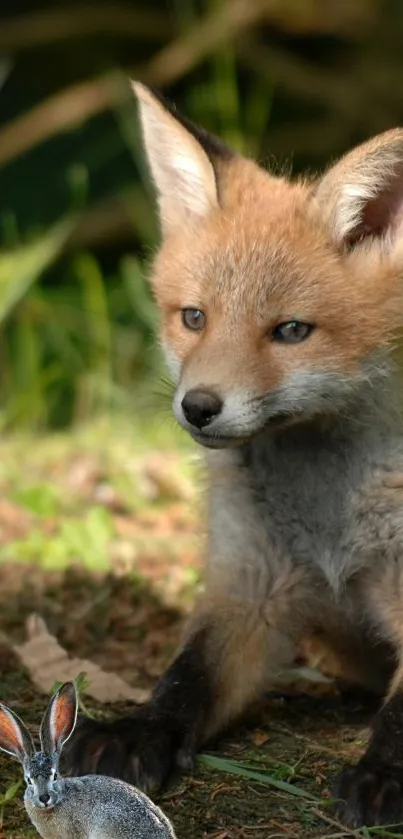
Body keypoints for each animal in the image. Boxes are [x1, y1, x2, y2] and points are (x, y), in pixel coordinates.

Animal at [66, 82, 403, 832]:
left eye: (290, 331)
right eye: (193, 318)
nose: (198, 406)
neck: (325, 514)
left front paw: (381, 774)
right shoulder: (251, 585)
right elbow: (186, 677)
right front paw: (136, 732)